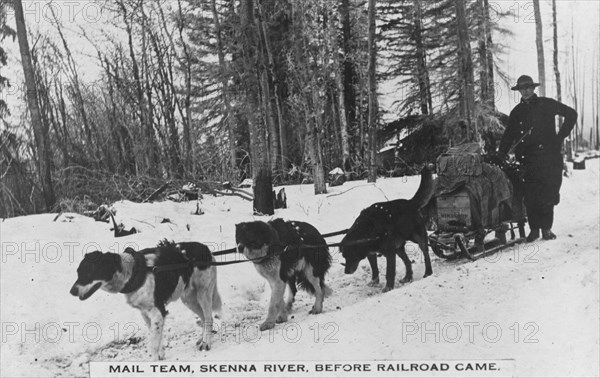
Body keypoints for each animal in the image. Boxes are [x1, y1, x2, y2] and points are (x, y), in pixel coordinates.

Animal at [70, 241, 220, 358]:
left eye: (88, 273)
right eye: (77, 273)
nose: (72, 292)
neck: (132, 272)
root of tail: (206, 248)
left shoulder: (158, 312)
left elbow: (153, 345)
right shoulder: (145, 313)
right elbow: (157, 339)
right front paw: (161, 355)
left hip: (203, 293)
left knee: (208, 318)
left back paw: (207, 343)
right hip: (188, 298)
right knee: (203, 318)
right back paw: (201, 340)